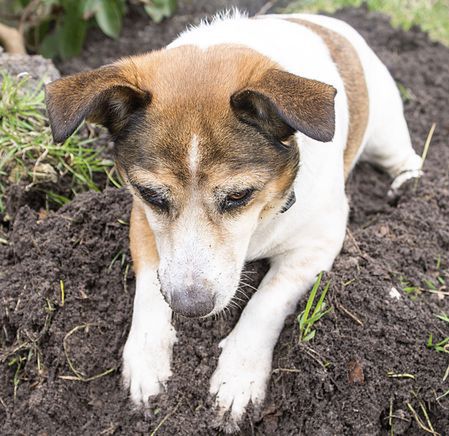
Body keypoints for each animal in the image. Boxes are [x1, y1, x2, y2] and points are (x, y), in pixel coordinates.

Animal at [44, 10, 420, 432]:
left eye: (239, 195)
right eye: (152, 195)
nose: (190, 307)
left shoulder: (318, 243)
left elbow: (267, 300)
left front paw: (238, 375)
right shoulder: (142, 220)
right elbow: (149, 287)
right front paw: (146, 358)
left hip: (386, 132)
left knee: (407, 157)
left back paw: (409, 187)